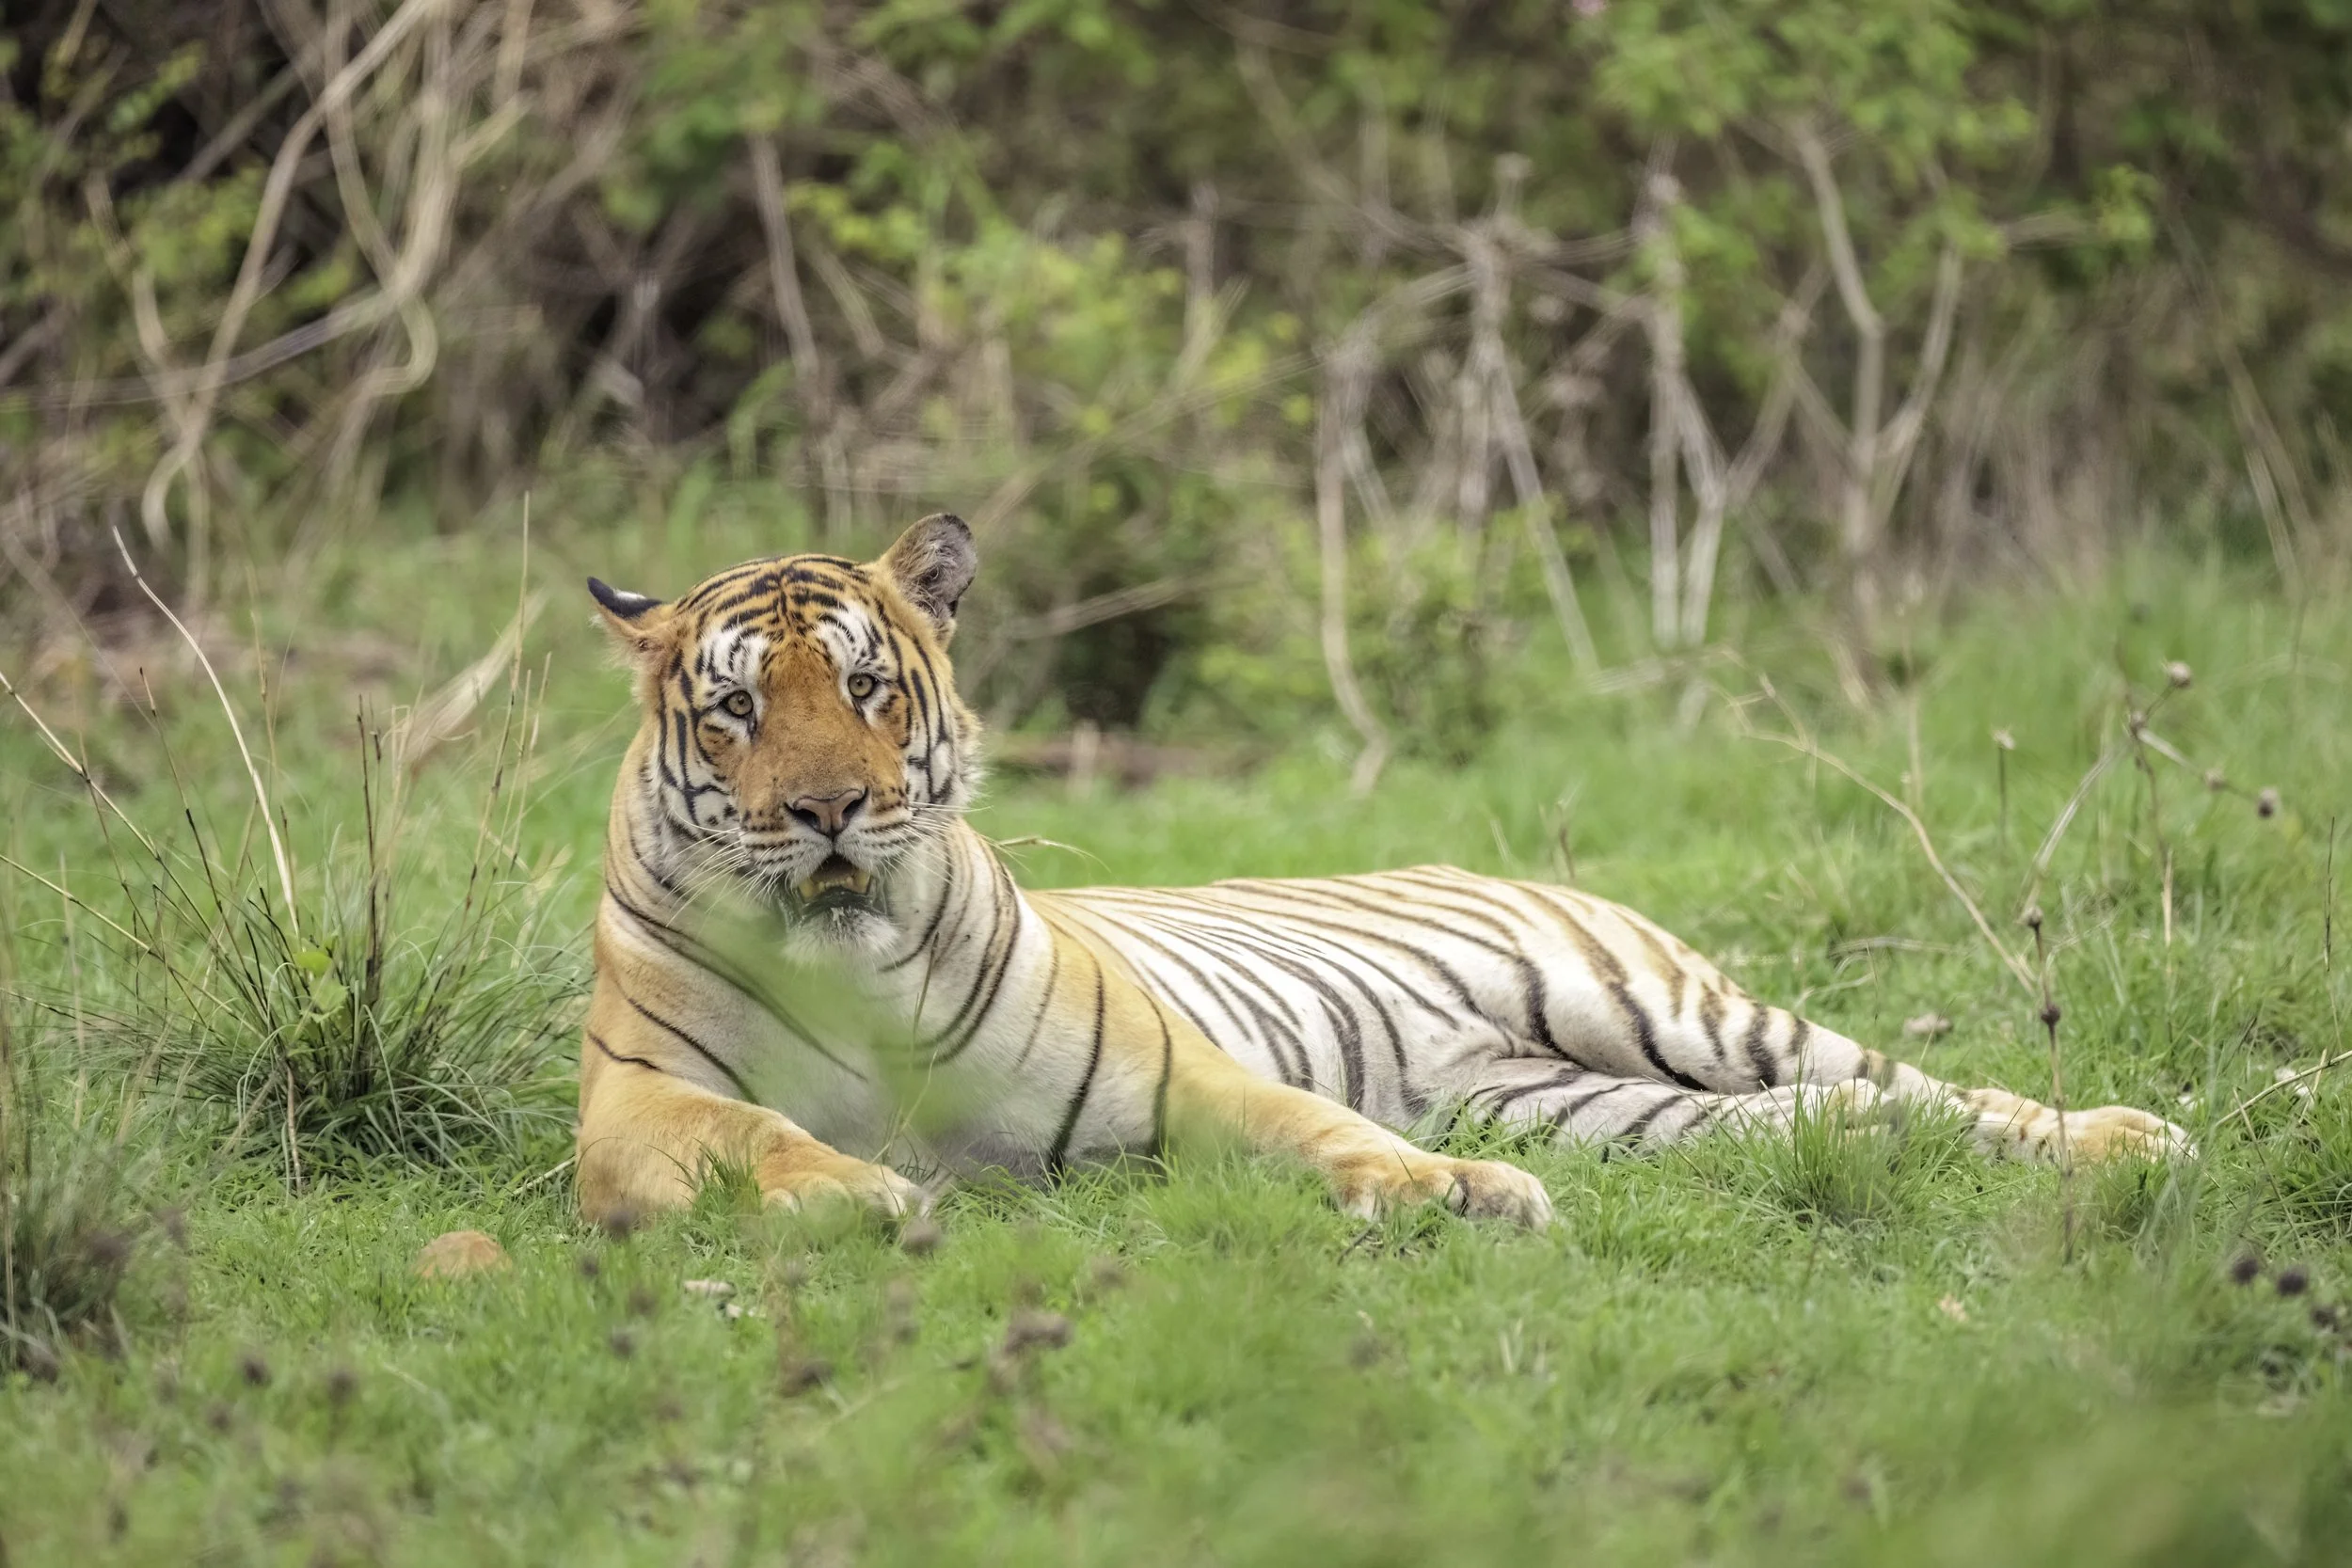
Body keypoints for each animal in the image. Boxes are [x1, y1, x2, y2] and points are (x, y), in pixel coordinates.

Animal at [574, 514, 2190, 1231]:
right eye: (737, 707)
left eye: (866, 686)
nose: (831, 810)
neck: (847, 957)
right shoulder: (634, 1104)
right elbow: (758, 1136)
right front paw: (867, 1193)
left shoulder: (1167, 1072)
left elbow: (1318, 1128)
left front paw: (1459, 1196)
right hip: (1593, 1098)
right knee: (1839, 1112)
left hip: (1669, 1009)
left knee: (1938, 1083)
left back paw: (2135, 1138)